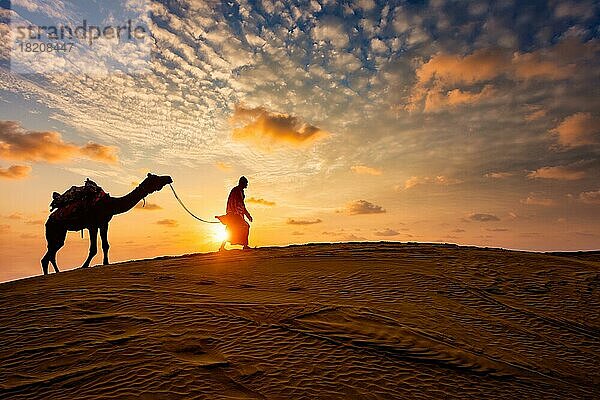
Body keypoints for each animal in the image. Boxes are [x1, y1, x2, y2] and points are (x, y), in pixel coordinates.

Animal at [41, 172, 173, 276]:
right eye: (156, 177)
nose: (169, 178)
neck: (110, 204)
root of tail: (49, 219)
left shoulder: (104, 223)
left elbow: (105, 245)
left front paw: (106, 263)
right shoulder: (92, 225)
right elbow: (93, 248)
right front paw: (84, 266)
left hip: (60, 232)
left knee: (50, 254)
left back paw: (55, 273)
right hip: (53, 229)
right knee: (49, 255)